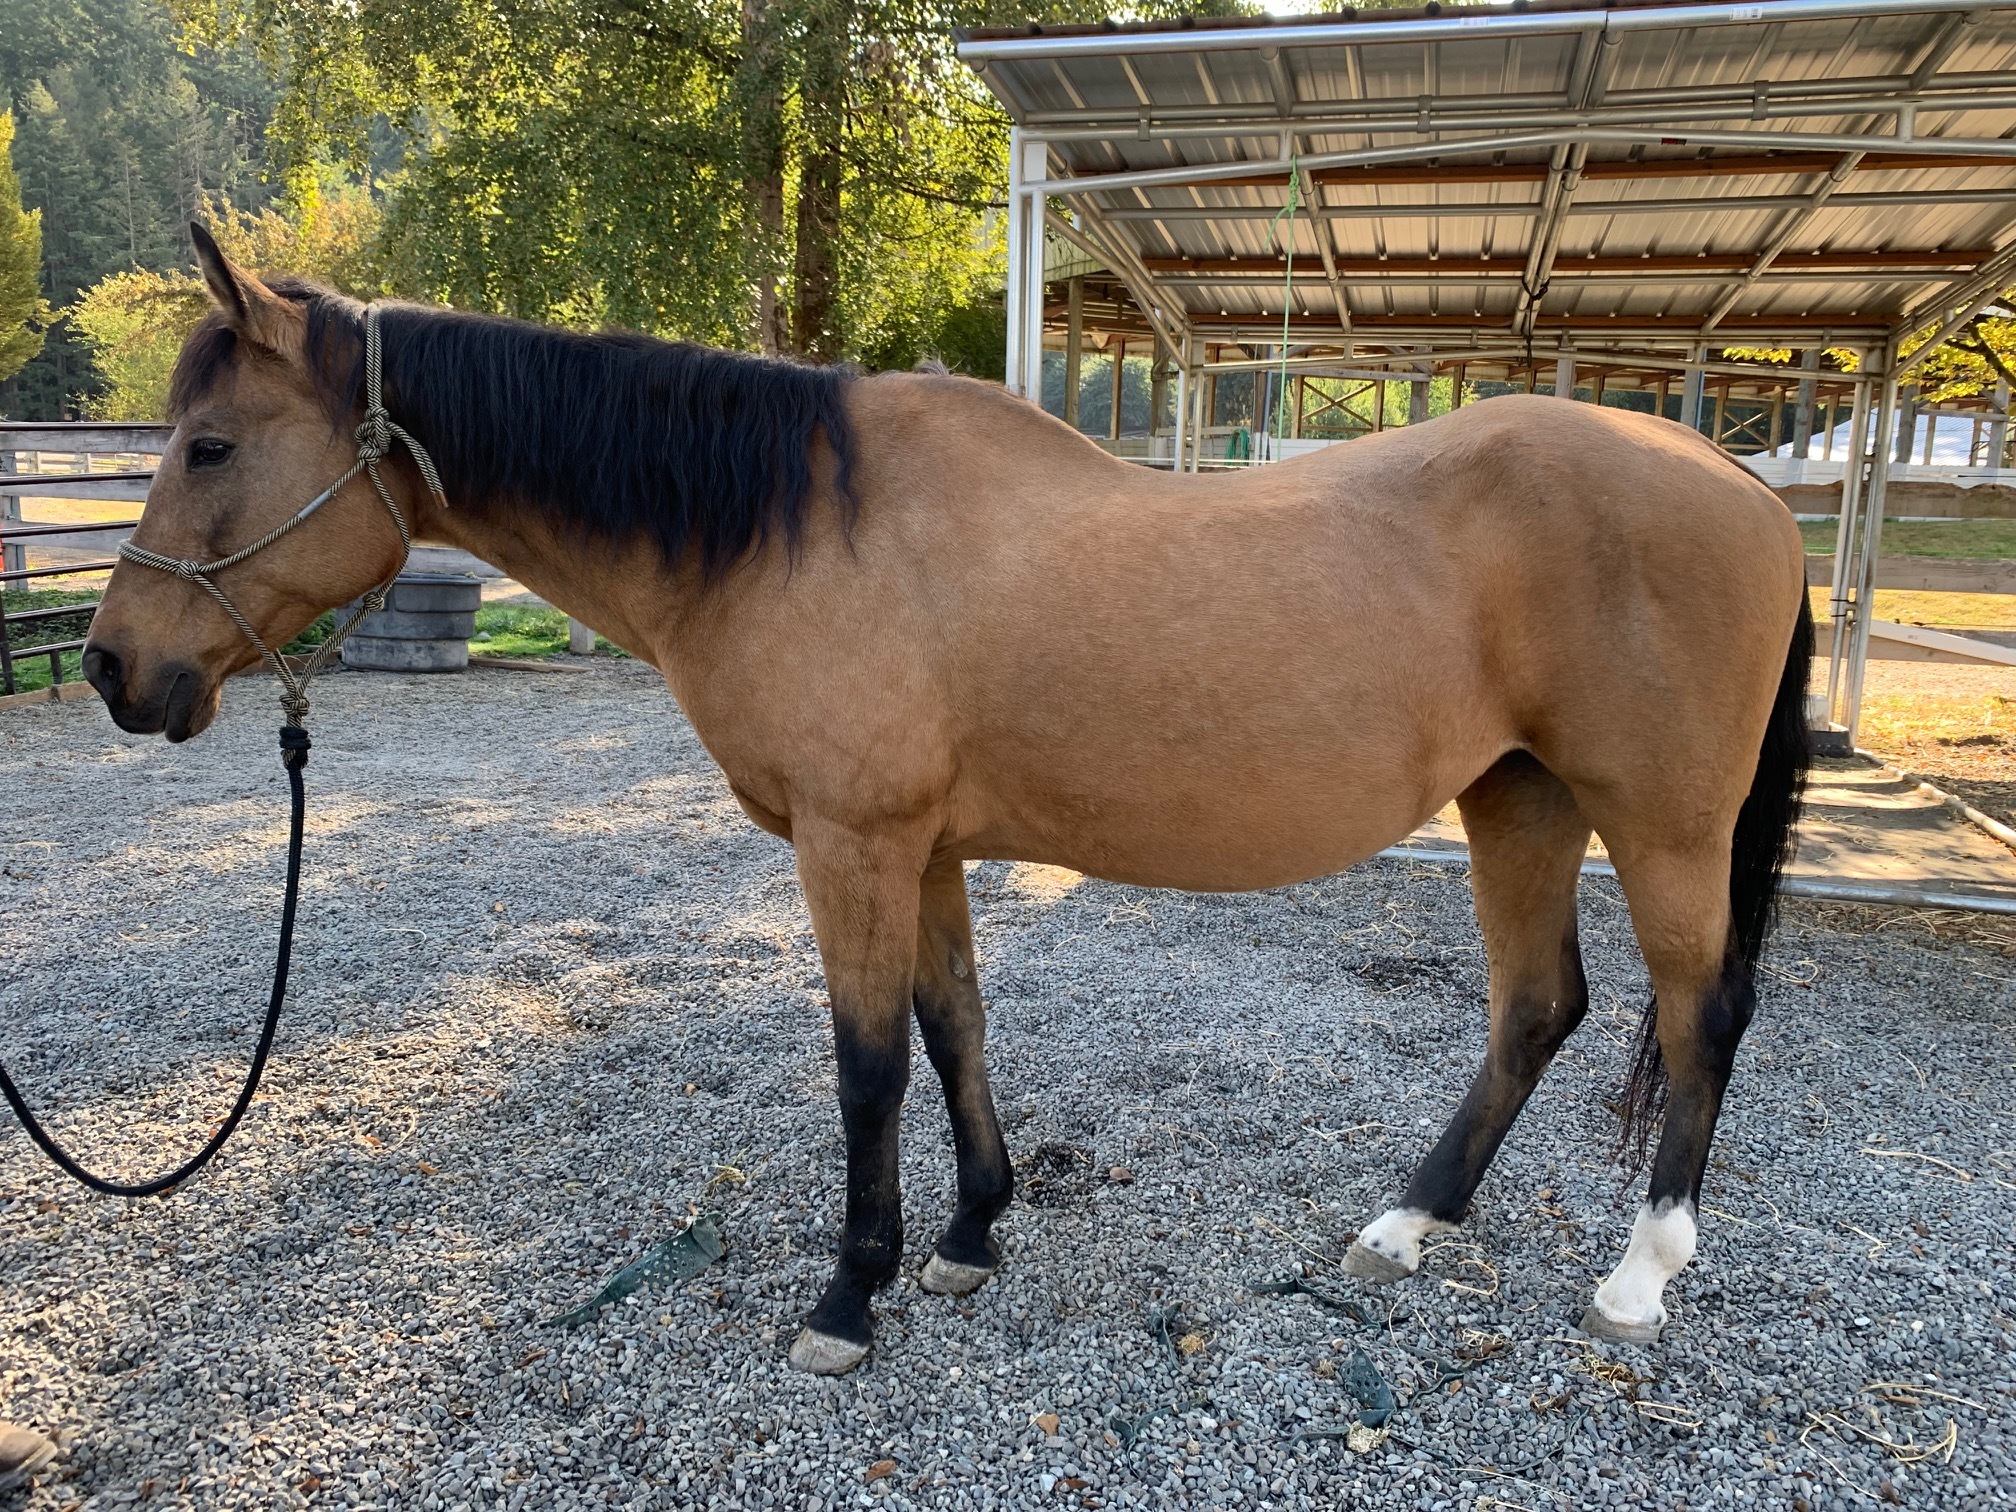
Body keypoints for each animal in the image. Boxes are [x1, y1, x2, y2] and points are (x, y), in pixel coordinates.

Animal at [82, 230, 1814, 1378]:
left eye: (210, 444)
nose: (112, 668)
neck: (793, 527)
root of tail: (1742, 481)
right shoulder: (919, 850)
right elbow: (951, 1026)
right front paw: (975, 1232)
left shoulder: (853, 845)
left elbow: (865, 1070)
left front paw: (851, 1296)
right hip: (1519, 799)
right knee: (1540, 1007)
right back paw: (1406, 1226)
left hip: (1658, 824)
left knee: (1699, 1013)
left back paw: (1641, 1275)